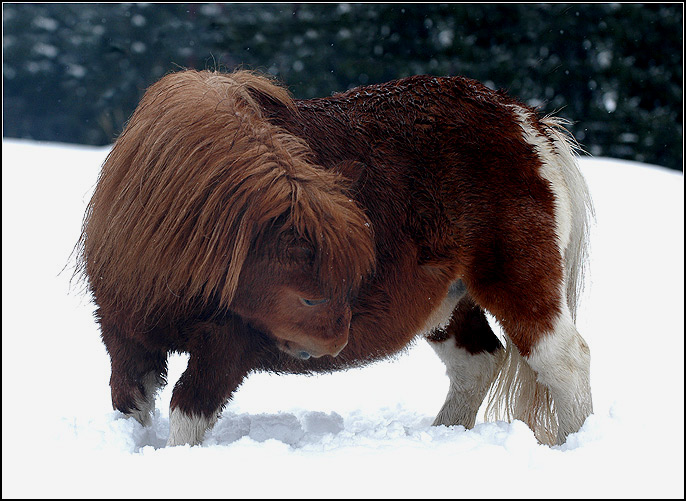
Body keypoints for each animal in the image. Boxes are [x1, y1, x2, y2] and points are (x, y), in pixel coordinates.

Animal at [74, 67, 592, 446]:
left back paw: (576, 441)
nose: (334, 347)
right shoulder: (125, 338)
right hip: (448, 301)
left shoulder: (226, 344)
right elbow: (131, 406)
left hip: (518, 280)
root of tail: (524, 120)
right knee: (479, 362)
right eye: (308, 297)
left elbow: (187, 414)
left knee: (564, 360)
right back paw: (444, 435)